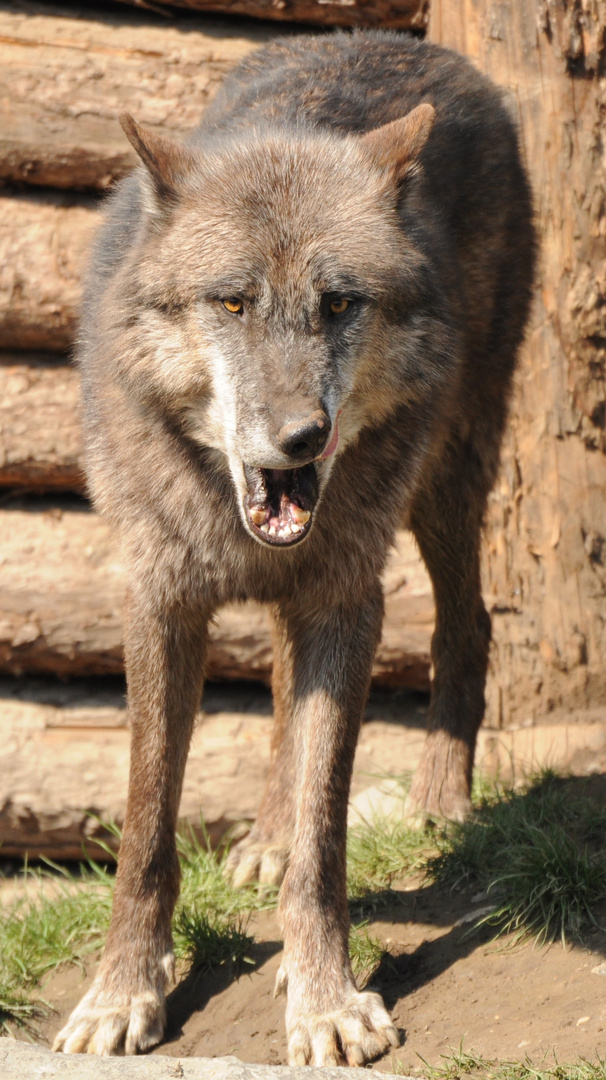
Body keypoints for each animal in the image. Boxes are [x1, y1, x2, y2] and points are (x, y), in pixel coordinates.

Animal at [53, 31, 533, 1062]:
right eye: (232, 304)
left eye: (340, 304)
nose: (301, 439)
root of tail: (413, 44)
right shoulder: (159, 599)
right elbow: (146, 822)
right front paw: (122, 993)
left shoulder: (347, 598)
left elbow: (326, 833)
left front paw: (324, 999)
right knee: (278, 681)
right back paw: (264, 838)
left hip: (449, 477)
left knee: (468, 625)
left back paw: (441, 799)